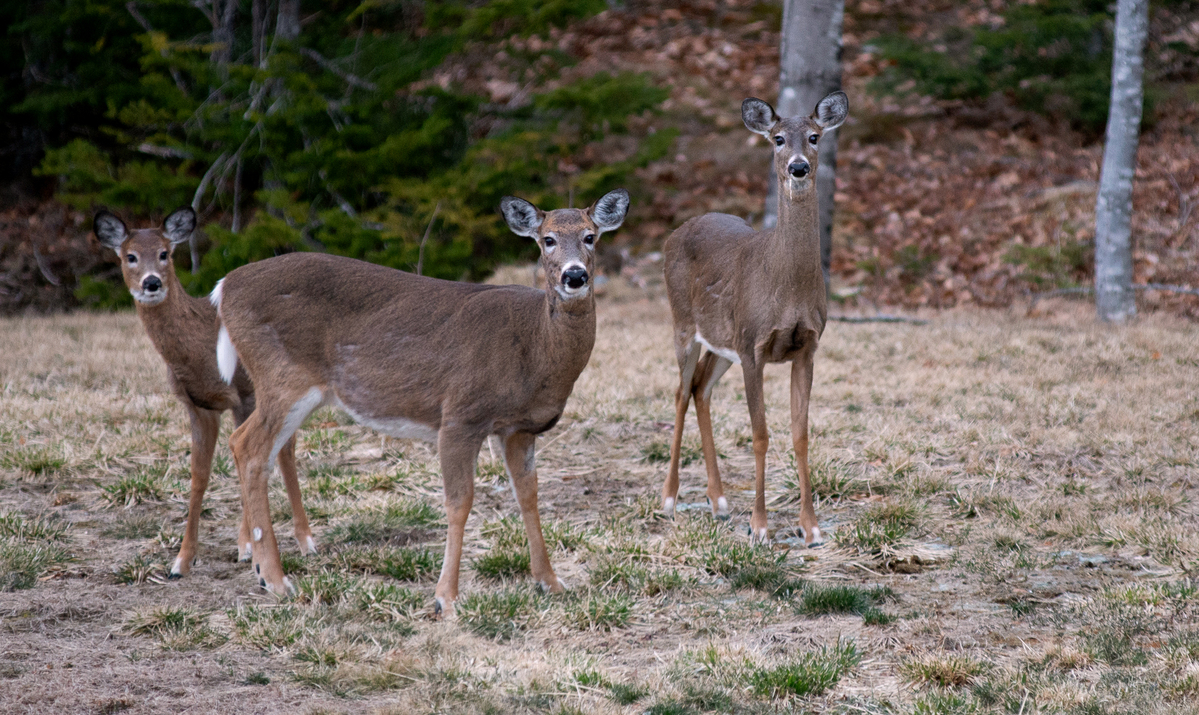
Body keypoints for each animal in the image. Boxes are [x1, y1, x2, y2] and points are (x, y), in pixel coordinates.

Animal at [92, 207, 316, 577]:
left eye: (165, 253)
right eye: (130, 256)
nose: (151, 283)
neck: (201, 347)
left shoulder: (244, 395)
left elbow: (245, 461)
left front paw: (247, 549)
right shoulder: (197, 405)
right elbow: (199, 475)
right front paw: (182, 561)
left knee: (284, 449)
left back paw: (305, 541)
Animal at [210, 189, 629, 608]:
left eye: (591, 236)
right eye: (547, 239)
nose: (575, 276)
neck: (535, 346)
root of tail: (224, 285)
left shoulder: (519, 429)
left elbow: (528, 495)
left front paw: (550, 582)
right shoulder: (460, 414)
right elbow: (459, 503)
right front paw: (447, 597)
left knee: (256, 445)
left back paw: (262, 564)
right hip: (283, 377)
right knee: (249, 447)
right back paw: (275, 579)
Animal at [659, 91, 848, 546]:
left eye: (815, 136)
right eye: (777, 139)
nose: (798, 166)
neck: (787, 286)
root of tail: (674, 233)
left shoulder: (807, 347)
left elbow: (800, 434)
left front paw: (810, 526)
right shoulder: (753, 346)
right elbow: (760, 435)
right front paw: (760, 526)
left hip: (721, 342)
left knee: (700, 390)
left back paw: (719, 501)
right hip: (684, 325)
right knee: (679, 392)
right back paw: (670, 499)